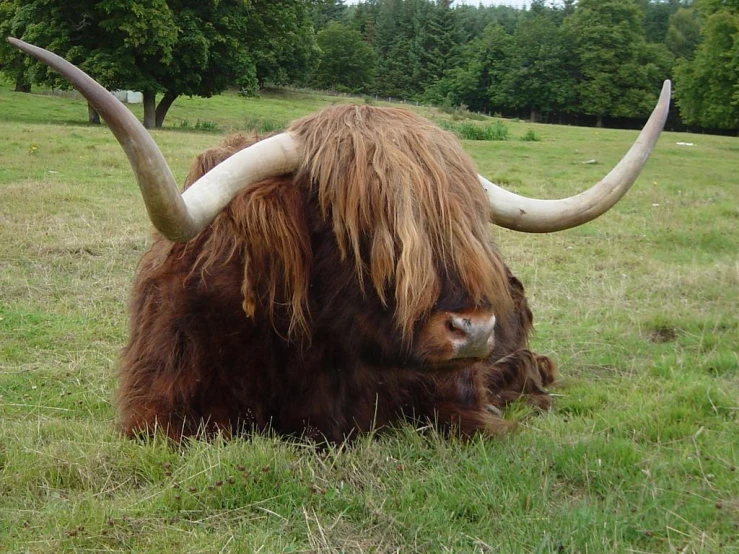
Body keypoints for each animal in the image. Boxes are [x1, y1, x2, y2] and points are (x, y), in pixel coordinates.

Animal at [10, 38, 672, 440]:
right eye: (358, 228)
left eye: (464, 223)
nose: (474, 329)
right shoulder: (156, 410)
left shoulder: (454, 390)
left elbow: (477, 419)